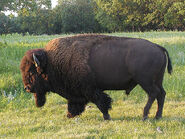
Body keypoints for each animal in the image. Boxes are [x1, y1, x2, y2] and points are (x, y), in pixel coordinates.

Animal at [20, 34, 172, 120]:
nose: (27, 88)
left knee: (153, 94)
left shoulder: (90, 89)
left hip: (145, 81)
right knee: (162, 94)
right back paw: (158, 116)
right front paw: (70, 115)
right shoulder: (78, 93)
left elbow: (101, 102)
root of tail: (158, 47)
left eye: (31, 72)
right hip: (158, 80)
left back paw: (145, 115)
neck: (52, 62)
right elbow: (76, 103)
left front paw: (107, 117)